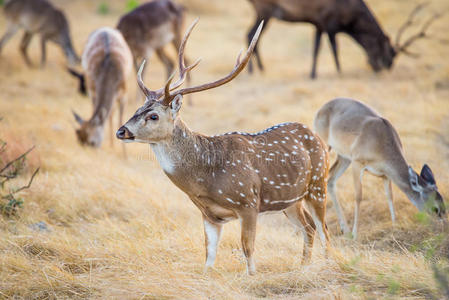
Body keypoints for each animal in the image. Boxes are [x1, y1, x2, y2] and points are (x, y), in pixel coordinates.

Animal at [115, 19, 330, 276]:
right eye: (137, 110)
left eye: (154, 116)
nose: (121, 131)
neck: (206, 177)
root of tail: (317, 136)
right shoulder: (209, 214)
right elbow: (209, 255)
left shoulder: (248, 201)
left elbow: (247, 249)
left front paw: (252, 277)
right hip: (291, 200)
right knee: (309, 227)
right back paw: (303, 267)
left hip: (318, 184)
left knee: (324, 229)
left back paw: (329, 264)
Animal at [245, 0, 440, 78]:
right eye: (390, 54)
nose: (382, 68)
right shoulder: (330, 22)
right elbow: (334, 48)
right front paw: (340, 72)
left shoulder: (319, 23)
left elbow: (316, 48)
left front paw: (312, 74)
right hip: (264, 9)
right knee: (249, 34)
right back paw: (253, 70)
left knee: (253, 36)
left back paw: (260, 69)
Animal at [314, 98, 446, 239]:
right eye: (435, 208)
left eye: (444, 207)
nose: (441, 228)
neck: (380, 144)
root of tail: (320, 110)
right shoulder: (357, 162)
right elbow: (359, 196)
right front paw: (355, 234)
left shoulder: (385, 174)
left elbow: (390, 196)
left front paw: (394, 225)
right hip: (325, 147)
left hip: (344, 157)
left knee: (330, 179)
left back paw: (344, 229)